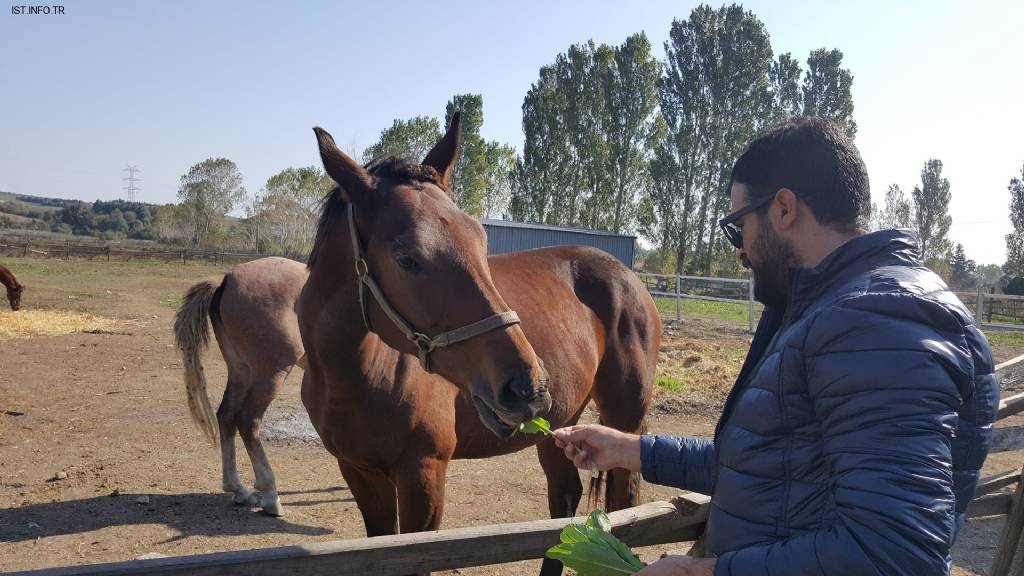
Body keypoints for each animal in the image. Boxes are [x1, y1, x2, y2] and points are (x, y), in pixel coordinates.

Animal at [172, 253, 305, 512]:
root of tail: (227, 279)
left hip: (240, 371)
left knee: (225, 416)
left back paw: (238, 490)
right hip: (271, 375)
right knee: (248, 421)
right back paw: (270, 495)